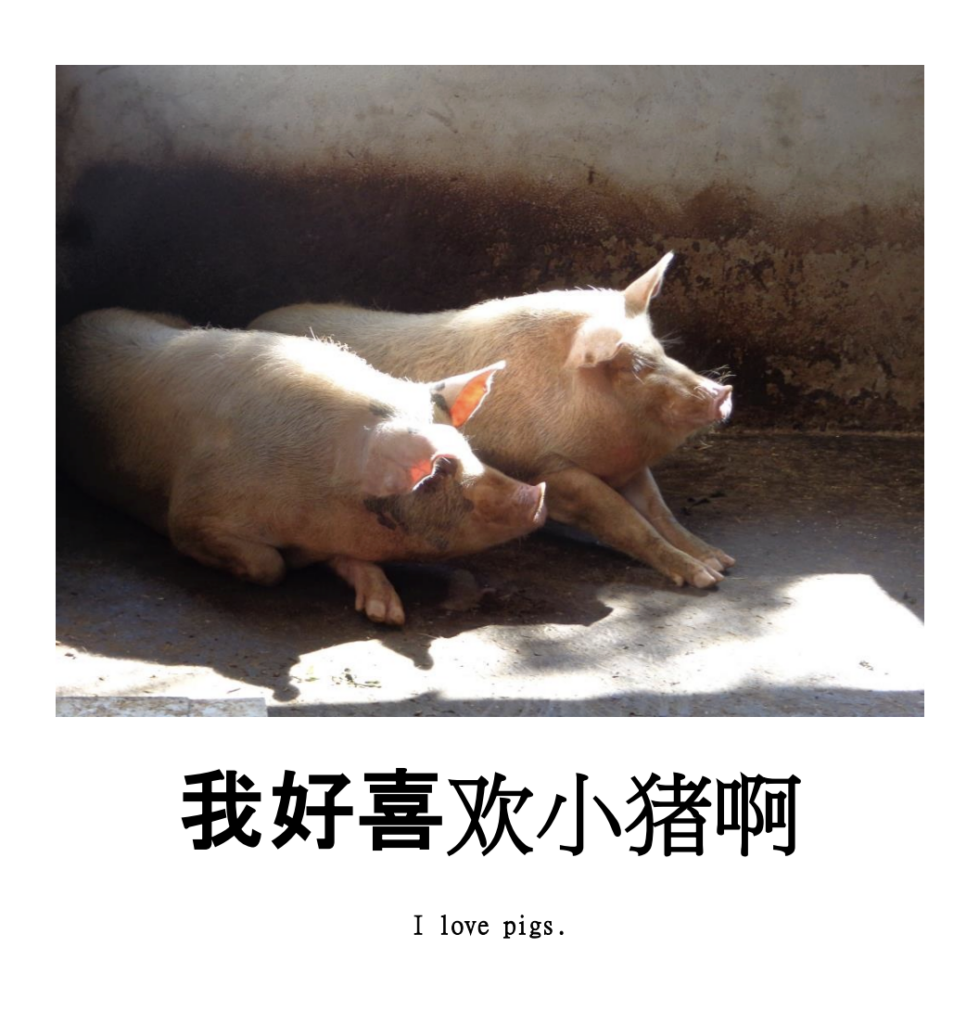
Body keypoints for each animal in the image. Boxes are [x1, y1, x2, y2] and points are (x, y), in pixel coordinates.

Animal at [57, 309, 547, 625]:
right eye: (440, 467)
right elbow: (269, 566)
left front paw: (386, 614)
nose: (537, 495)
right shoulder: (192, 514)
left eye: (468, 447)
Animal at [249, 252, 733, 588]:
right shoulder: (550, 469)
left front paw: (719, 560)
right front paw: (706, 579)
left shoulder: (628, 467)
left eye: (661, 350)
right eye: (632, 367)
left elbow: (659, 511)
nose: (723, 393)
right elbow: (625, 520)